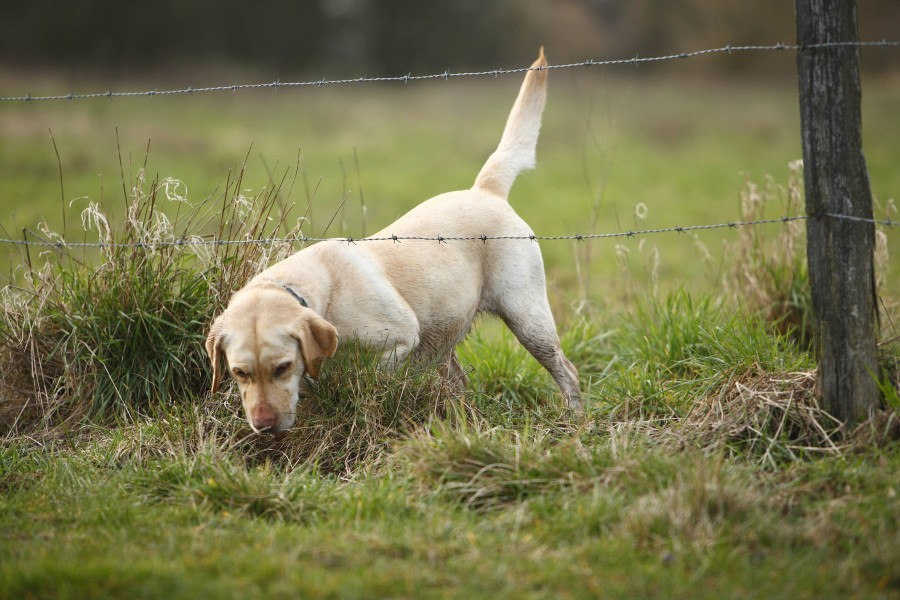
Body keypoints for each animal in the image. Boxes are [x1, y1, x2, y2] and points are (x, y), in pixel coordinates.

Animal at [207, 48, 580, 432]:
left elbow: (373, 373)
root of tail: (485, 190)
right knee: (460, 381)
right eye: (239, 373)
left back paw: (575, 418)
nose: (264, 425)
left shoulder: (401, 338)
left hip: (528, 318)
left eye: (282, 367)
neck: (317, 292)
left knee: (567, 371)